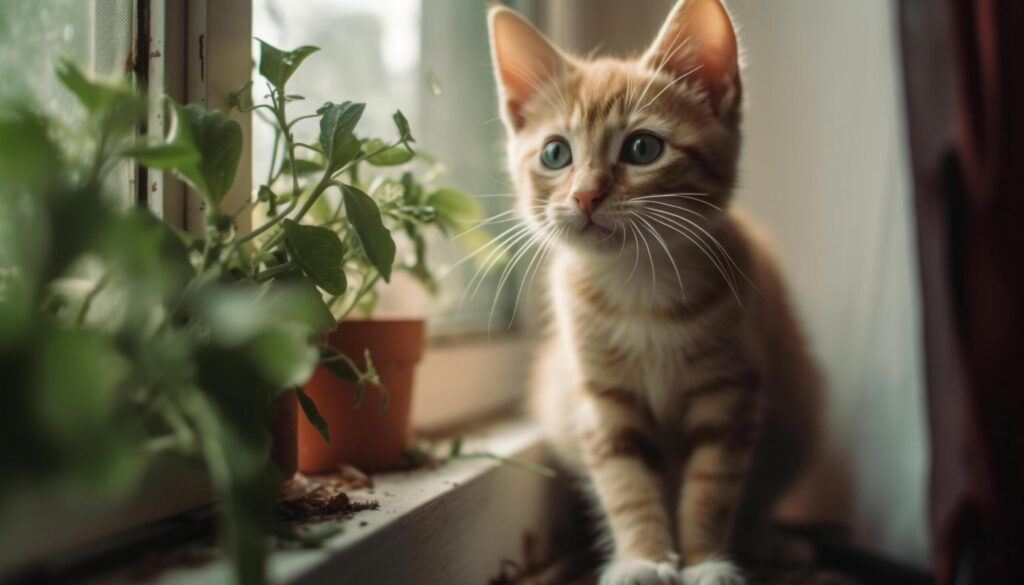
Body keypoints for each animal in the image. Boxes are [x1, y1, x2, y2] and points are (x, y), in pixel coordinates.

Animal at [487, 1, 823, 585]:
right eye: (555, 154)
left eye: (643, 148)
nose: (586, 196)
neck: (638, 286)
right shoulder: (603, 400)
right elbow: (626, 483)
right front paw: (642, 558)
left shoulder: (730, 391)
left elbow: (711, 487)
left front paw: (706, 561)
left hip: (798, 407)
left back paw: (768, 539)